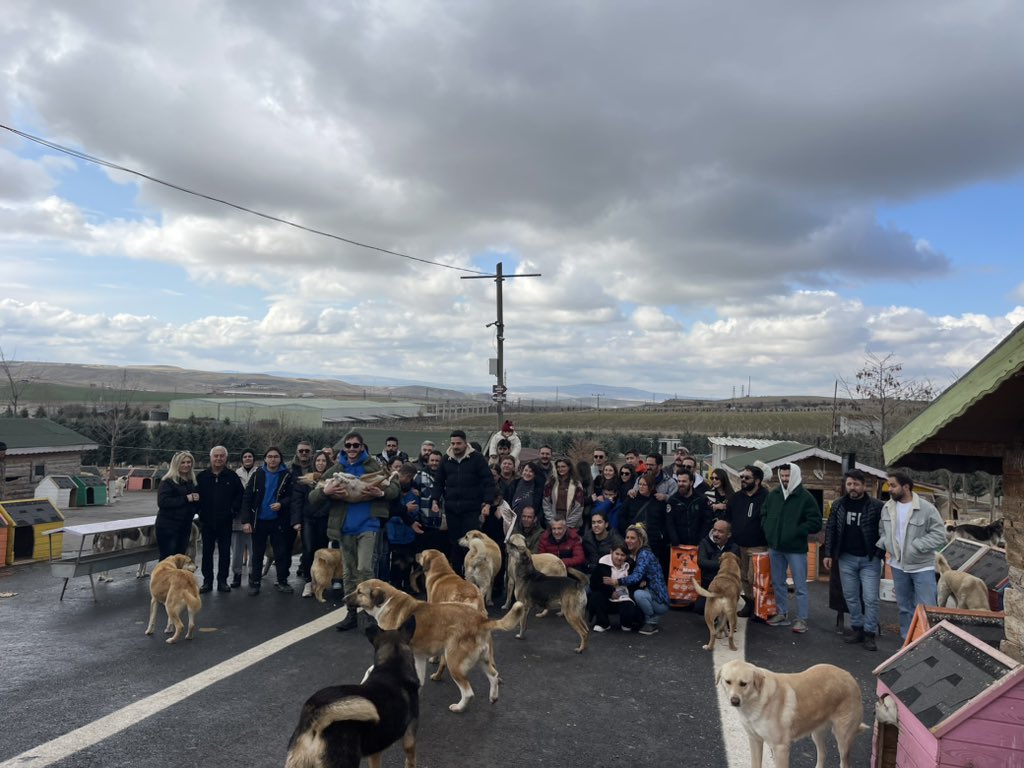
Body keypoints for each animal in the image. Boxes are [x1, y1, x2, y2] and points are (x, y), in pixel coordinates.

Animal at [344, 581, 524, 716]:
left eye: (359, 592)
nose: (344, 598)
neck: (387, 602)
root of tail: (481, 620)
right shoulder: (418, 656)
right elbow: (419, 677)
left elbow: (370, 669)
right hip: (483, 659)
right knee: (493, 675)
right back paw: (493, 697)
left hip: (454, 663)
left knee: (468, 692)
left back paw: (458, 707)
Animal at [716, 663, 868, 768]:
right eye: (727, 681)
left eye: (744, 684)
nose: (734, 701)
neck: (757, 700)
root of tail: (850, 677)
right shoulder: (755, 740)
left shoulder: (781, 748)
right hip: (816, 733)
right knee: (823, 754)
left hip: (843, 741)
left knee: (844, 763)